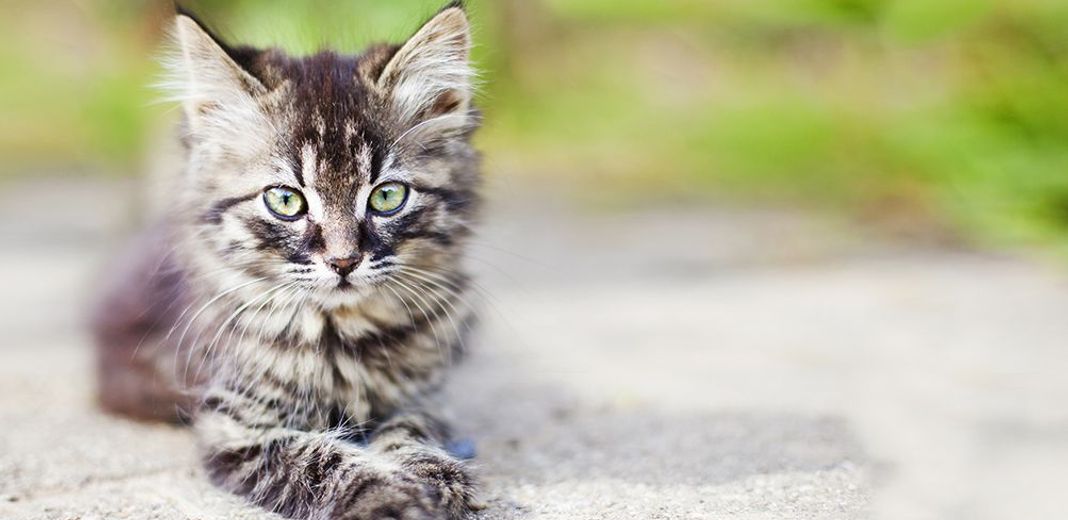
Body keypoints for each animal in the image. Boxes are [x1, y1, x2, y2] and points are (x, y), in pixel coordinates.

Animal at [91, 3, 484, 516]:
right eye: (285, 201)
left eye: (387, 197)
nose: (343, 261)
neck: (340, 336)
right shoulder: (237, 427)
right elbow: (323, 463)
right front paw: (391, 497)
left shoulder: (422, 397)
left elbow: (413, 432)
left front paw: (433, 476)